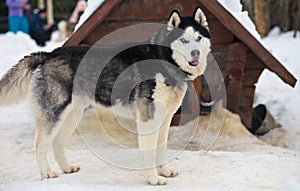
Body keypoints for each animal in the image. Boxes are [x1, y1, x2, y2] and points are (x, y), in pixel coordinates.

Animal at [0, 7, 211, 185]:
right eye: (183, 40)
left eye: (199, 38)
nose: (195, 53)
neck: (163, 60)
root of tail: (49, 54)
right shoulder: (147, 120)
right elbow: (149, 153)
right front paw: (153, 179)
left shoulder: (165, 120)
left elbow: (160, 150)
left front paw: (165, 171)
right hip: (53, 116)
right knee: (40, 145)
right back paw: (47, 174)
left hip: (73, 115)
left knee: (57, 142)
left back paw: (67, 168)